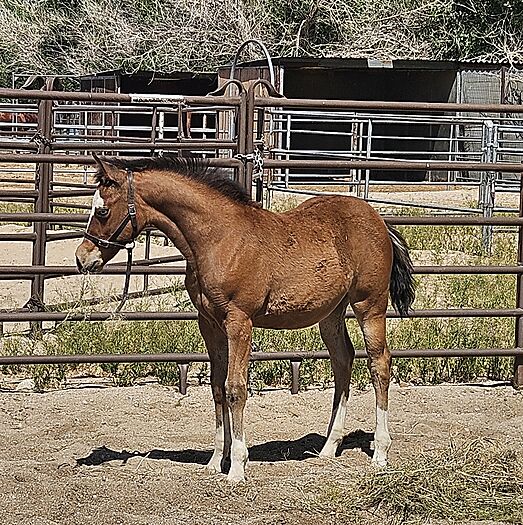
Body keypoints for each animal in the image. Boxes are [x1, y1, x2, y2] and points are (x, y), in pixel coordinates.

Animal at [75, 154, 415, 482]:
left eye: (102, 211)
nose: (82, 258)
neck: (219, 240)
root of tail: (379, 220)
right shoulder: (209, 323)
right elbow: (216, 387)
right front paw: (215, 462)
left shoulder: (239, 322)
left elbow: (235, 388)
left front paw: (237, 467)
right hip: (331, 313)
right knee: (343, 360)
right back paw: (329, 447)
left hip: (369, 305)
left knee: (379, 363)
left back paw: (380, 453)